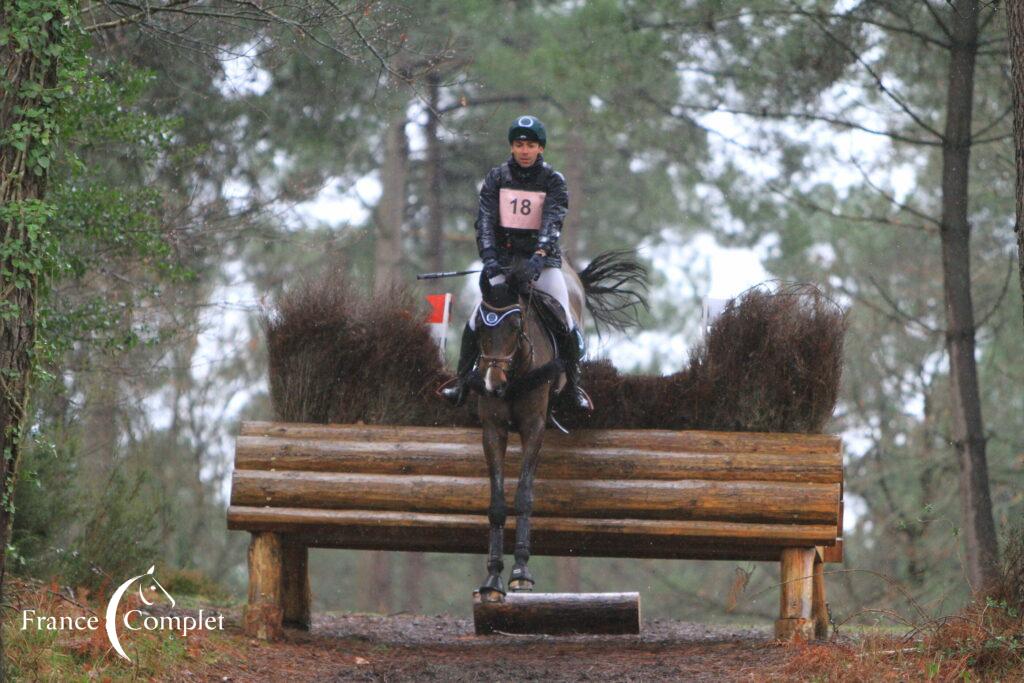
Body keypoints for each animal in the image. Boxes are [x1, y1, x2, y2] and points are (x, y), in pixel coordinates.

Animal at [471, 249, 647, 598]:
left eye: (516, 325)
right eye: (482, 328)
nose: (492, 384)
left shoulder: (534, 427)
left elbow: (524, 495)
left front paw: (521, 572)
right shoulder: (493, 429)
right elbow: (497, 502)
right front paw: (493, 577)